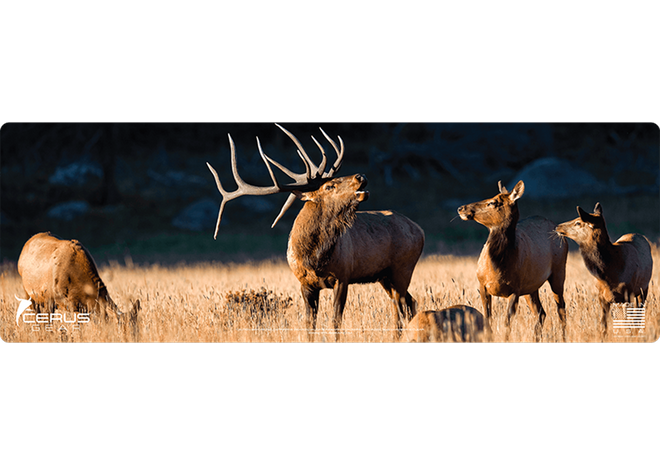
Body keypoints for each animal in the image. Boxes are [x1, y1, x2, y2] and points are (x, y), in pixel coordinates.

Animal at [206, 124, 425, 341]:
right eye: (329, 185)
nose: (361, 176)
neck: (314, 257)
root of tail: (420, 229)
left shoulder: (343, 276)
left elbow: (335, 321)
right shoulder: (305, 283)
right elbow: (309, 324)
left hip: (402, 268)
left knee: (401, 307)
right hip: (385, 276)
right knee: (408, 303)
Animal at [457, 180, 568, 342]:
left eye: (493, 202)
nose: (461, 208)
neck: (497, 267)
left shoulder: (515, 289)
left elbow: (506, 323)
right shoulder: (482, 285)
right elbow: (488, 319)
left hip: (559, 271)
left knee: (561, 309)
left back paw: (564, 337)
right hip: (531, 287)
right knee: (541, 313)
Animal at [555, 202, 653, 334]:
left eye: (578, 223)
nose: (558, 226)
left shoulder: (628, 294)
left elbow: (629, 323)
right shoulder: (602, 297)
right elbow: (603, 325)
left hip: (644, 289)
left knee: (639, 315)